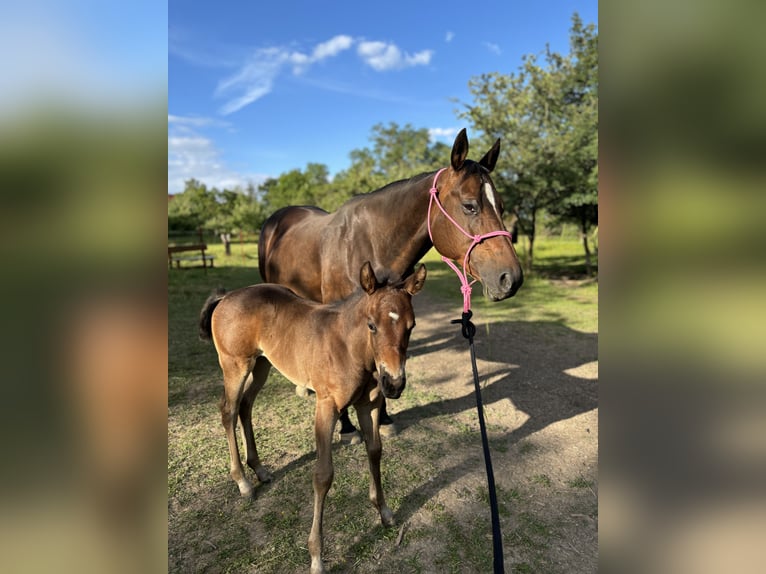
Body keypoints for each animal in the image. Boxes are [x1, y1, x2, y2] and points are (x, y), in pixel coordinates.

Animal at [198, 264, 426, 572]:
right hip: (235, 364)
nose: (394, 384)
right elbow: (323, 475)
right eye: (371, 325)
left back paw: (260, 470)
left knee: (246, 406)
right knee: (228, 411)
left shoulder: (368, 404)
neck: (350, 348)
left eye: (411, 326)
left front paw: (385, 511)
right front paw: (316, 556)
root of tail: (227, 296)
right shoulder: (326, 406)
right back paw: (242, 481)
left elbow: (375, 451)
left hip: (262, 364)